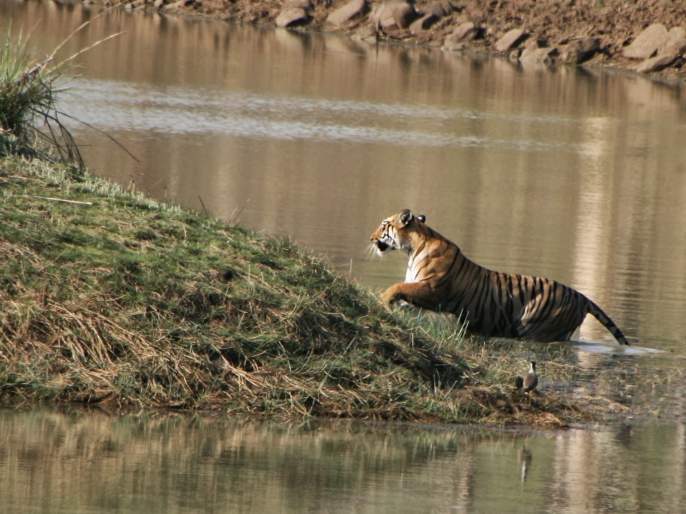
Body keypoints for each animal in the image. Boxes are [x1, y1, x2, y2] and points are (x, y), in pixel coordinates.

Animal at [374, 208, 632, 344]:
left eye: (384, 225)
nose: (371, 238)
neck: (413, 248)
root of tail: (581, 296)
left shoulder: (431, 288)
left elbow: (397, 287)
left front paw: (382, 300)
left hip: (536, 328)